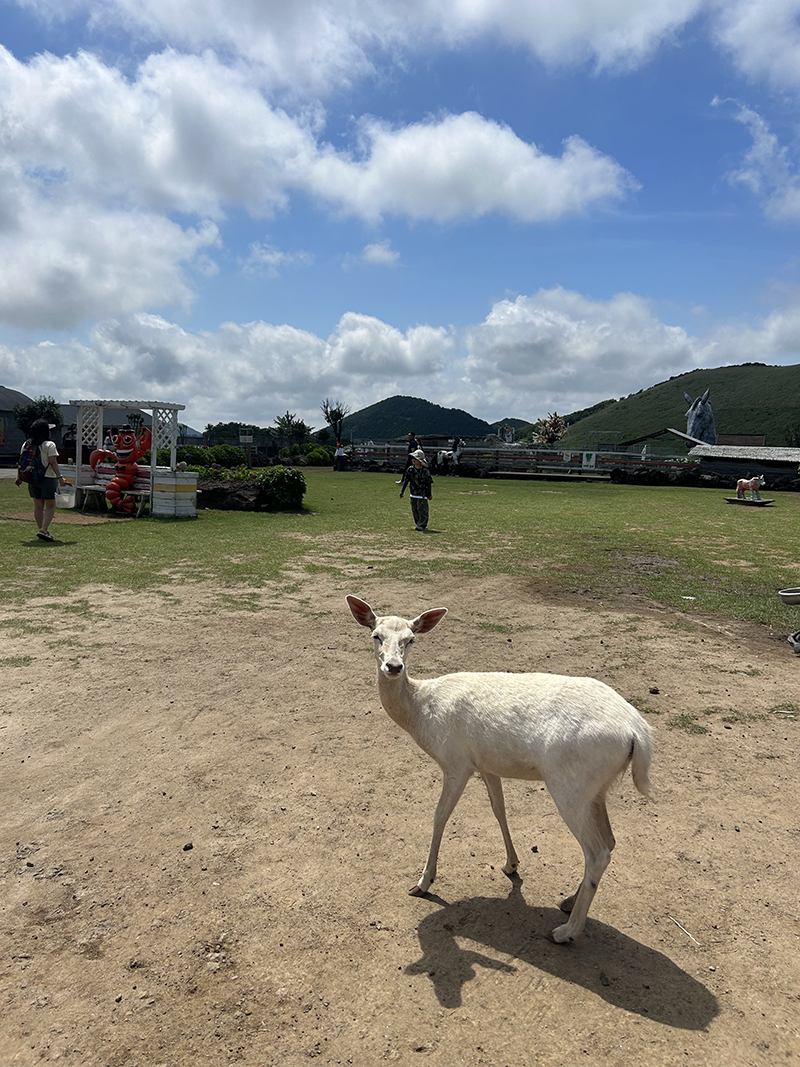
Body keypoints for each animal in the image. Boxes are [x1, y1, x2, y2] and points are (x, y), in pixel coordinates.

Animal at [347, 595, 653, 944]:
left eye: (411, 639)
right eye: (376, 636)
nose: (394, 667)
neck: (422, 712)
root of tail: (639, 731)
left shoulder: (457, 762)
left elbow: (440, 816)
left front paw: (422, 883)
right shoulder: (487, 763)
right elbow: (499, 809)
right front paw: (511, 865)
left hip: (570, 785)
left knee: (597, 851)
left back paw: (566, 931)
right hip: (597, 788)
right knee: (610, 840)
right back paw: (567, 901)